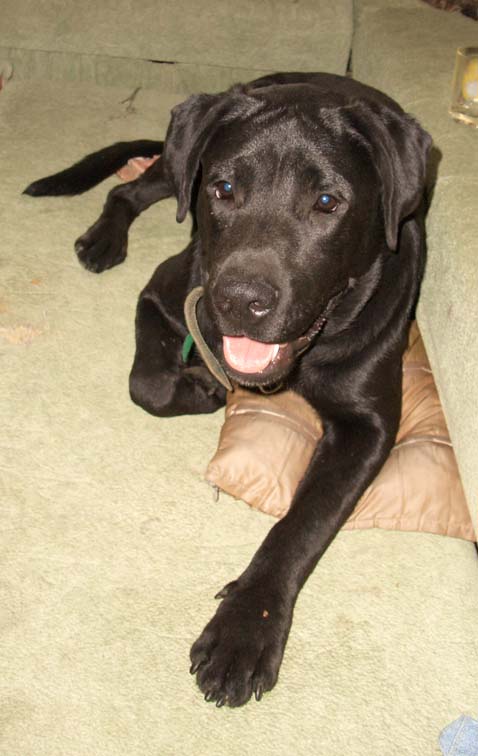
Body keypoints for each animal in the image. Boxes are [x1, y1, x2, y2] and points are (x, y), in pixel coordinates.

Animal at [24, 72, 432, 707]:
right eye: (224, 188)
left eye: (327, 203)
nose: (239, 300)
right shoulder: (167, 291)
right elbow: (146, 384)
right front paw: (200, 389)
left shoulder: (368, 424)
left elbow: (299, 526)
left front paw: (245, 629)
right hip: (176, 169)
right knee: (131, 189)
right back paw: (104, 239)